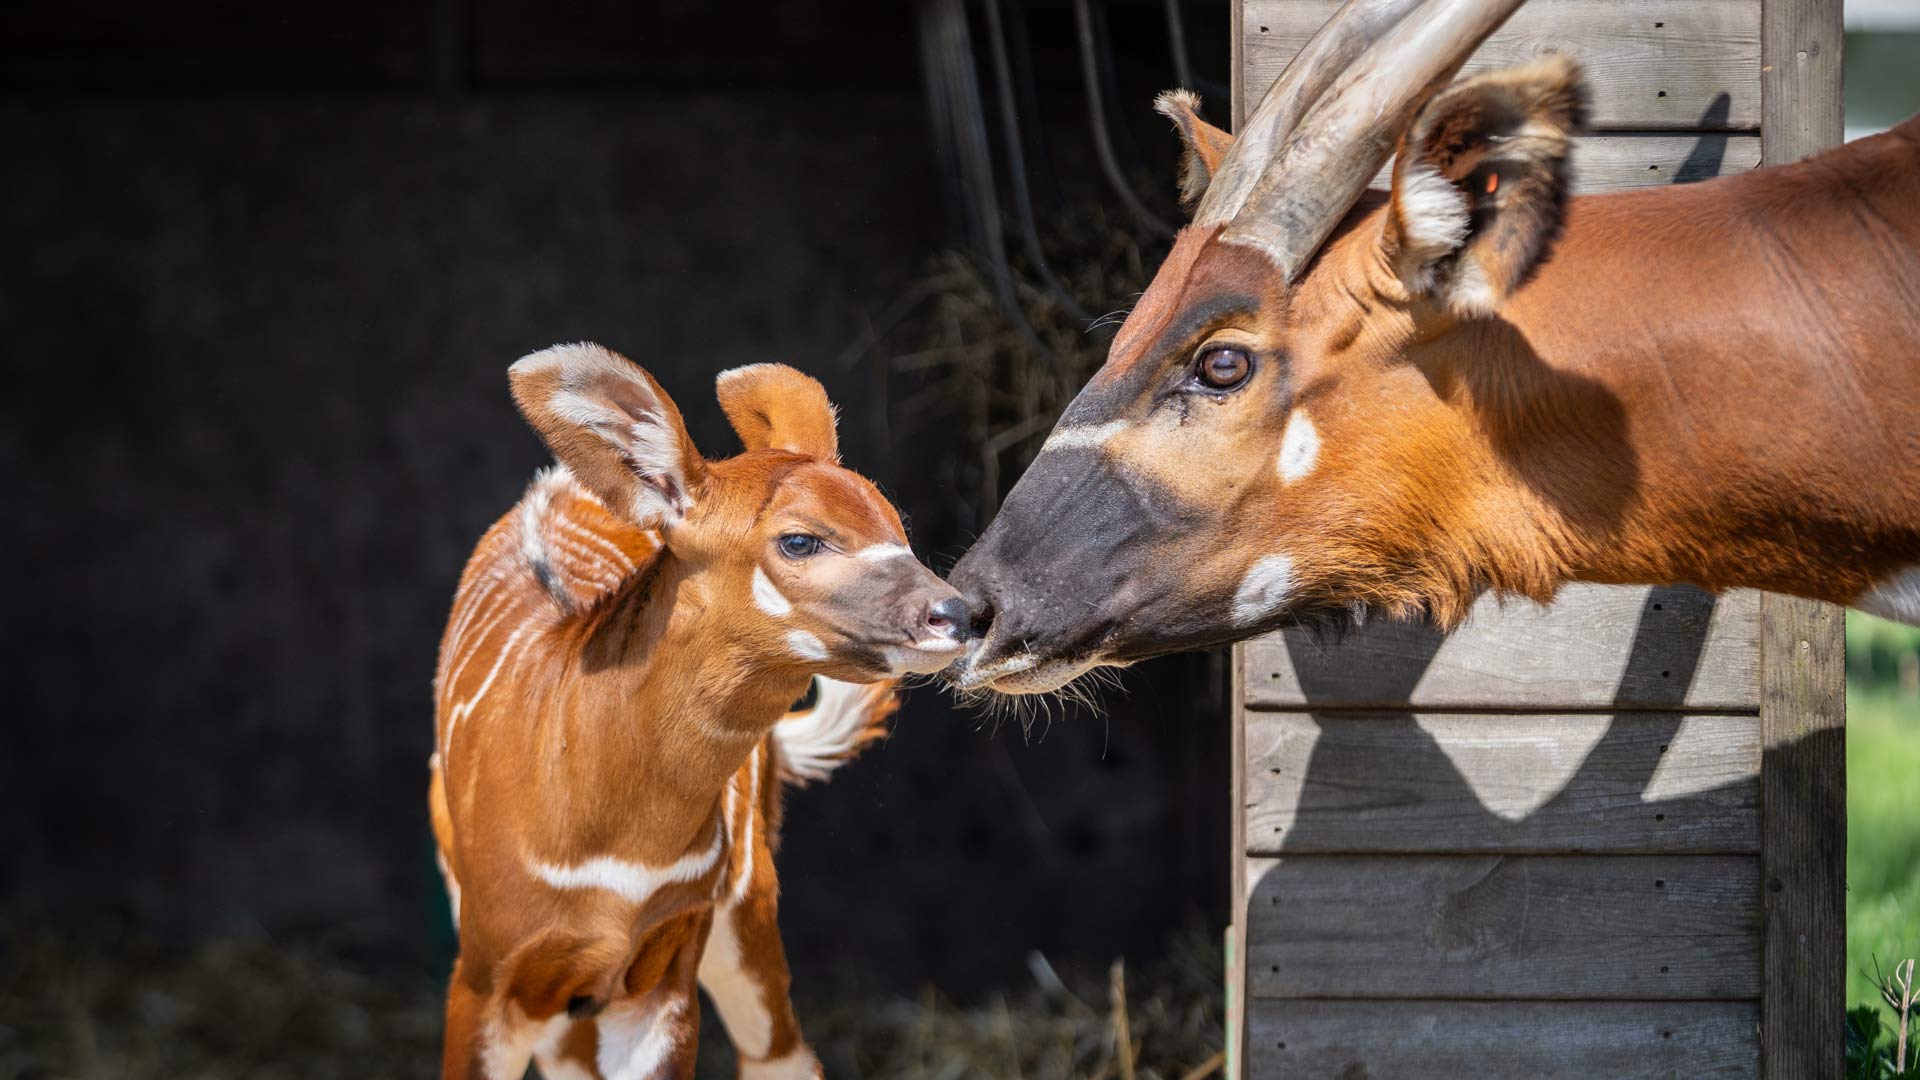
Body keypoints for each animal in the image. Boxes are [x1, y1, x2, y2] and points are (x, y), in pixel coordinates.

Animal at [430, 344, 967, 1078]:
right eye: (800, 540)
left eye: (897, 527)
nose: (958, 612)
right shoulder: (487, 976)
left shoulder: (666, 967)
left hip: (746, 906)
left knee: (780, 1051)